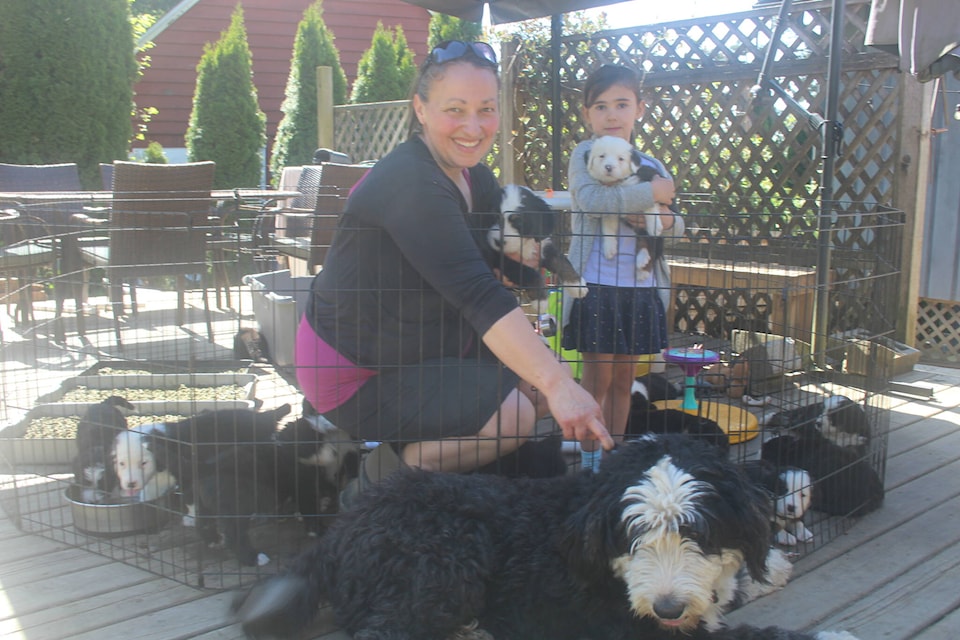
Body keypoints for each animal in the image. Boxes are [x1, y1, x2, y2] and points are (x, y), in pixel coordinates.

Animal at [232, 432, 824, 636]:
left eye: (695, 534)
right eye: (634, 538)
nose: (668, 607)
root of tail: (341, 530)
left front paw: (767, 568)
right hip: (446, 556)